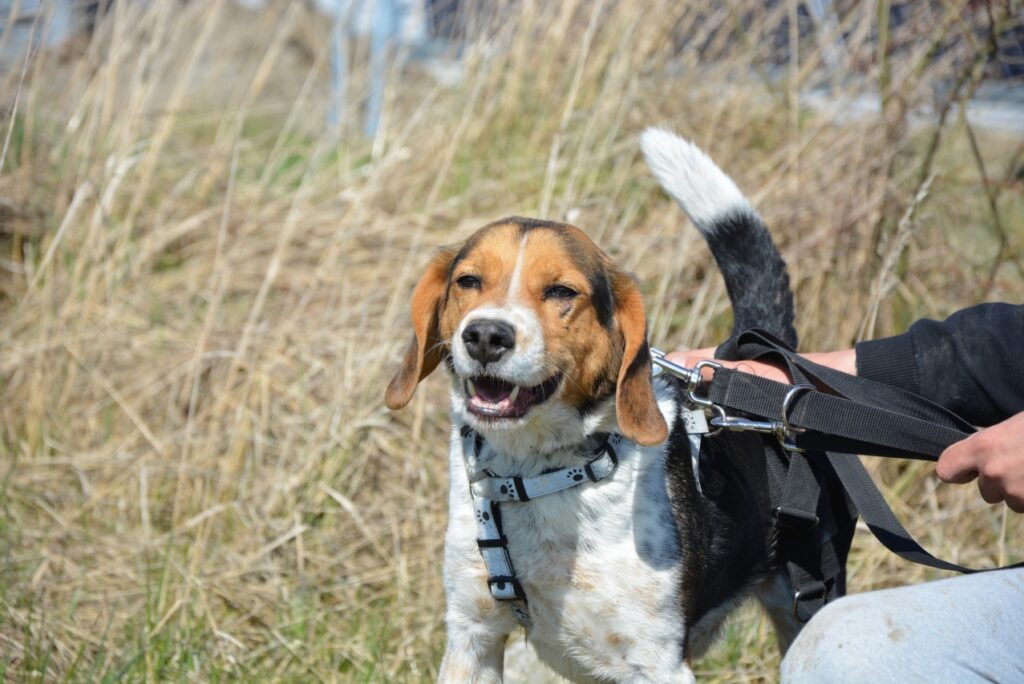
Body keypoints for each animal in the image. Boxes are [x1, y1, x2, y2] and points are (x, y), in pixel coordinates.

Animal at [387, 126, 802, 679]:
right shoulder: (471, 638)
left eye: (562, 291)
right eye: (468, 281)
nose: (485, 336)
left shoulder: (658, 662)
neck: (537, 475)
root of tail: (757, 358)